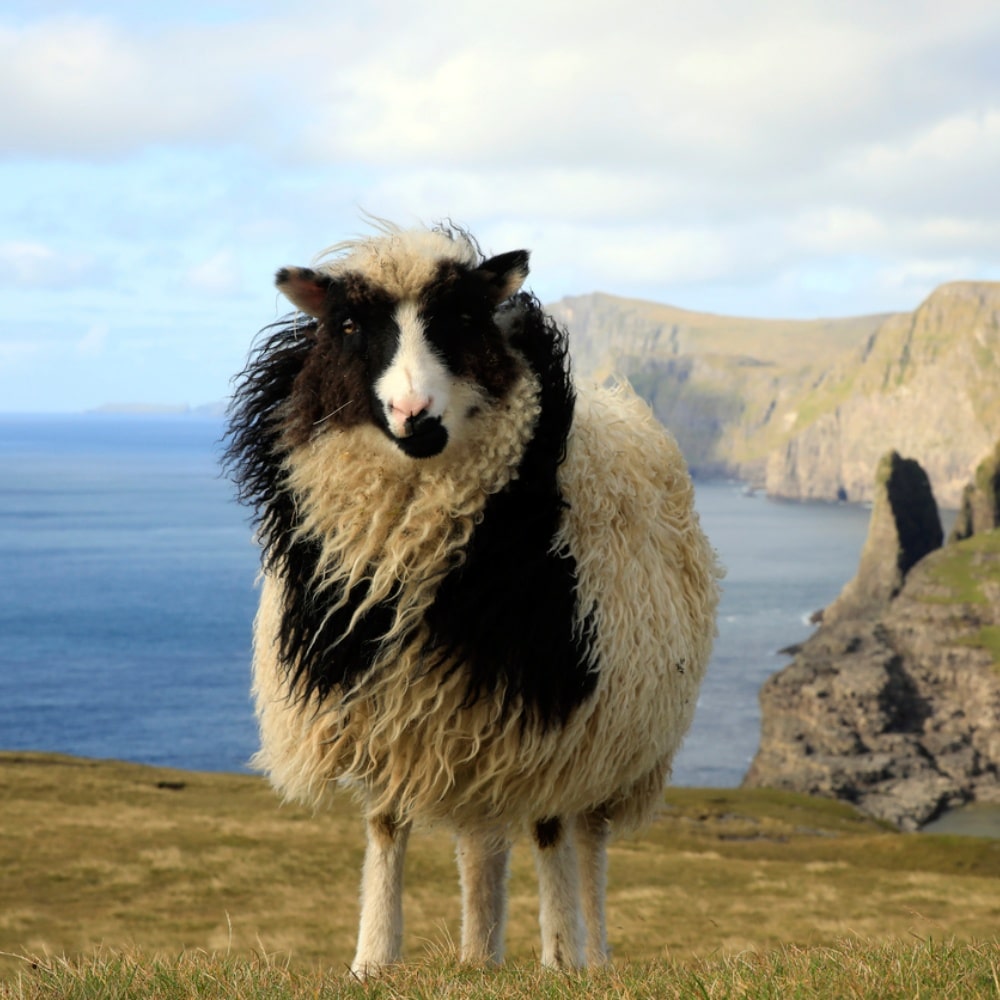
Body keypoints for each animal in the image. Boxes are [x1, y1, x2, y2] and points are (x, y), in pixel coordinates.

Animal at [225, 221, 721, 976]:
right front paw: (374, 960)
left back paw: (586, 954)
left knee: (577, 837)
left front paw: (553, 956)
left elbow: (543, 835)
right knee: (483, 833)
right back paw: (479, 951)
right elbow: (387, 825)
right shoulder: (387, 703)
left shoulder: (547, 709)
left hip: (612, 734)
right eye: (348, 325)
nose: (414, 415)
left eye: (460, 318)